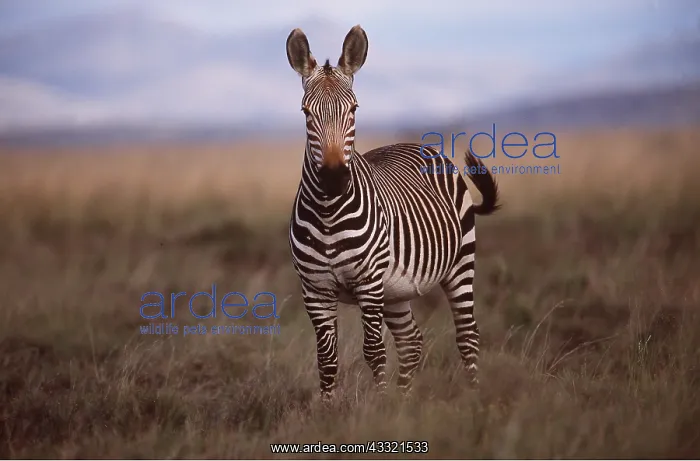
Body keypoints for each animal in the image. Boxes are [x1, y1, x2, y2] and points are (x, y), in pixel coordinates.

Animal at [286, 25, 501, 399]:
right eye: (306, 113)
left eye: (354, 110)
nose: (333, 177)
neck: (328, 214)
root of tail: (420, 145)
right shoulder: (314, 290)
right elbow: (326, 360)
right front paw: (331, 410)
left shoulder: (369, 283)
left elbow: (373, 351)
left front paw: (378, 406)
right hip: (396, 290)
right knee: (411, 341)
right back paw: (403, 401)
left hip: (460, 263)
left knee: (467, 334)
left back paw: (473, 396)